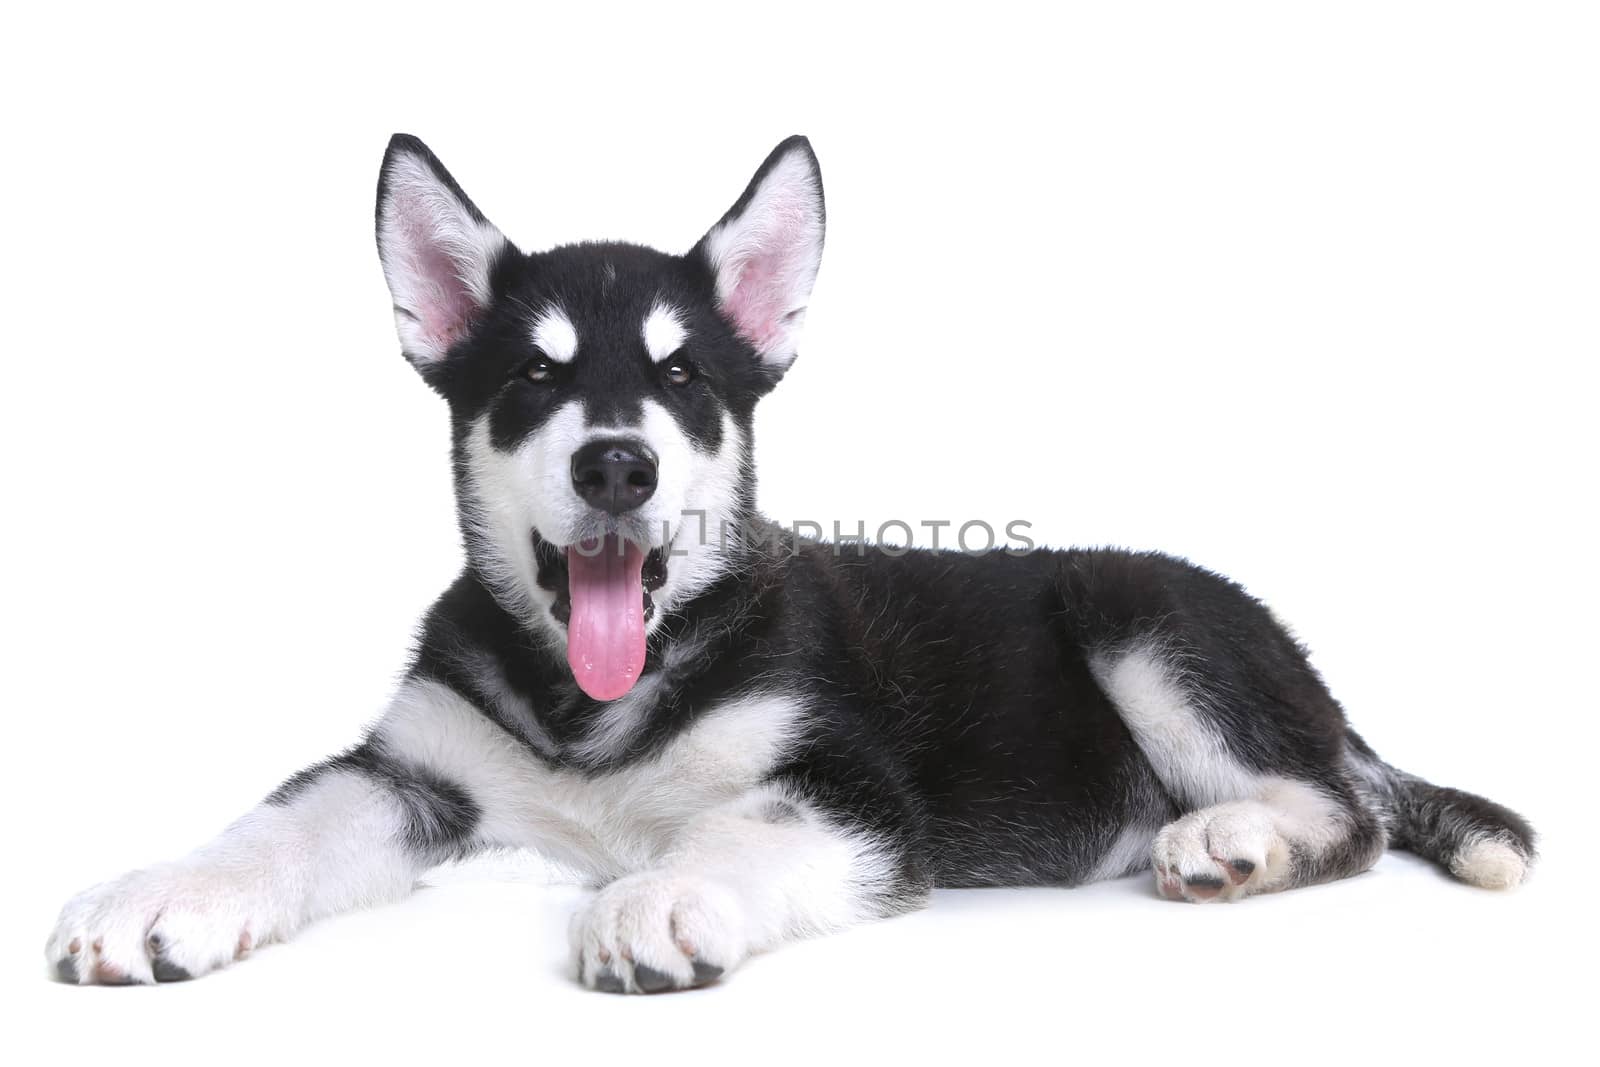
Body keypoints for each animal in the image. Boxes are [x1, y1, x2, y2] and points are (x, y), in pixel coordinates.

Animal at [43, 135, 1529, 991]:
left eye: (682, 377)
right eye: (533, 376)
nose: (618, 466)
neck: (598, 707)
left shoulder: (849, 790)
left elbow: (740, 825)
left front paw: (659, 891)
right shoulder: (417, 766)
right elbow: (281, 819)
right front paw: (159, 890)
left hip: (1144, 616)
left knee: (1347, 809)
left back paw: (1234, 837)